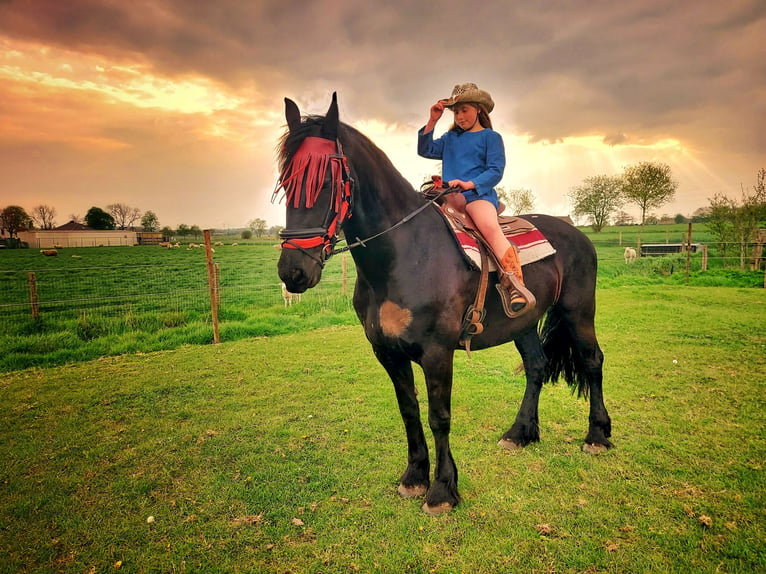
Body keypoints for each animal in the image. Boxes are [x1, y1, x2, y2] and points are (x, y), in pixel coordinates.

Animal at [276, 94, 612, 516]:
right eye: (285, 182)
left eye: (326, 180)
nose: (293, 271)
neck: (404, 255)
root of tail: (575, 233)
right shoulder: (388, 353)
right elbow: (409, 411)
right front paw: (413, 478)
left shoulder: (437, 353)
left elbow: (439, 416)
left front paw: (442, 490)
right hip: (523, 324)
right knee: (537, 367)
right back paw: (519, 433)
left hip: (578, 312)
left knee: (592, 361)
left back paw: (597, 436)